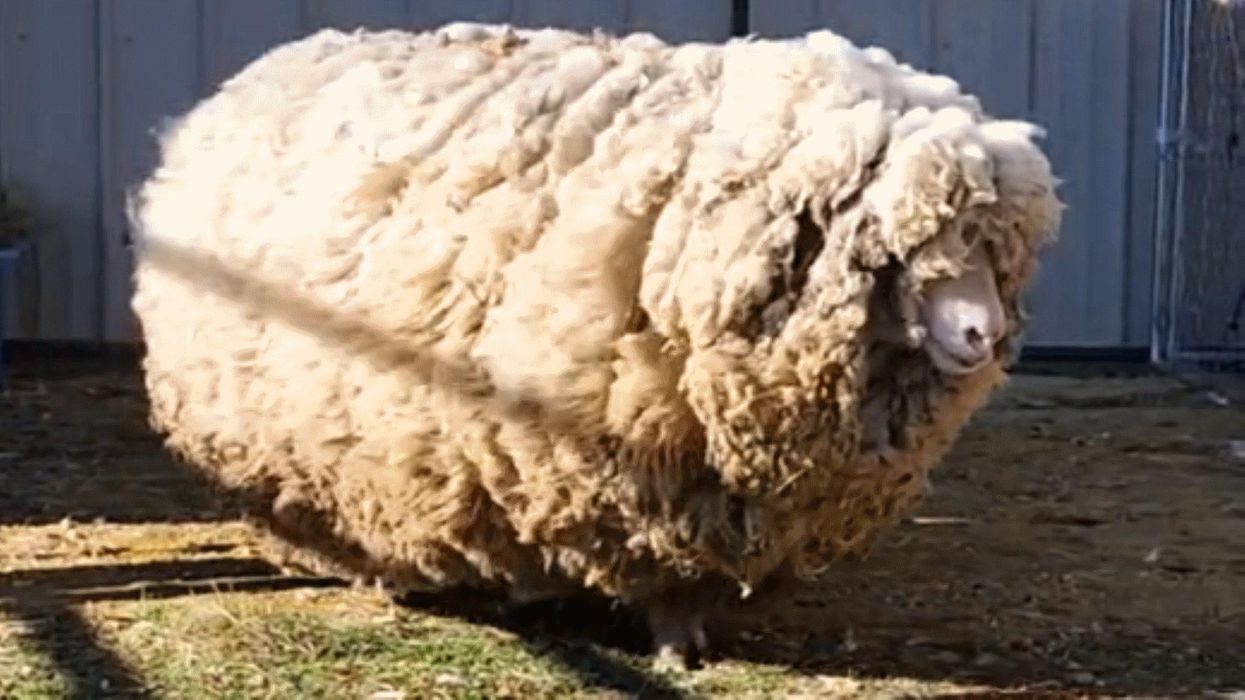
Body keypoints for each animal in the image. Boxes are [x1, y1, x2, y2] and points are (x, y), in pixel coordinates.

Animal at [126, 22, 1062, 668]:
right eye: (911, 244)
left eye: (999, 251)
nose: (981, 335)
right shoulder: (642, 463)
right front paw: (676, 647)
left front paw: (684, 636)